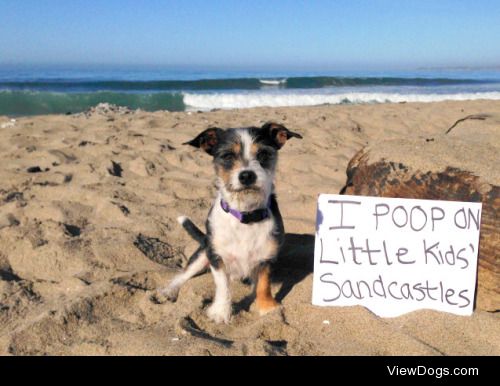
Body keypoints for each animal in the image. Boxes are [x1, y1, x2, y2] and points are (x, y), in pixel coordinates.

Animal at [160, 122, 300, 322]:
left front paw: (267, 308)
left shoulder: (267, 256)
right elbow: (223, 286)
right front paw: (221, 312)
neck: (245, 216)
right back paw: (169, 290)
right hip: (203, 252)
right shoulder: (216, 256)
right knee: (183, 274)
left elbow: (264, 284)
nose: (247, 175)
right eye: (227, 156)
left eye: (263, 154)